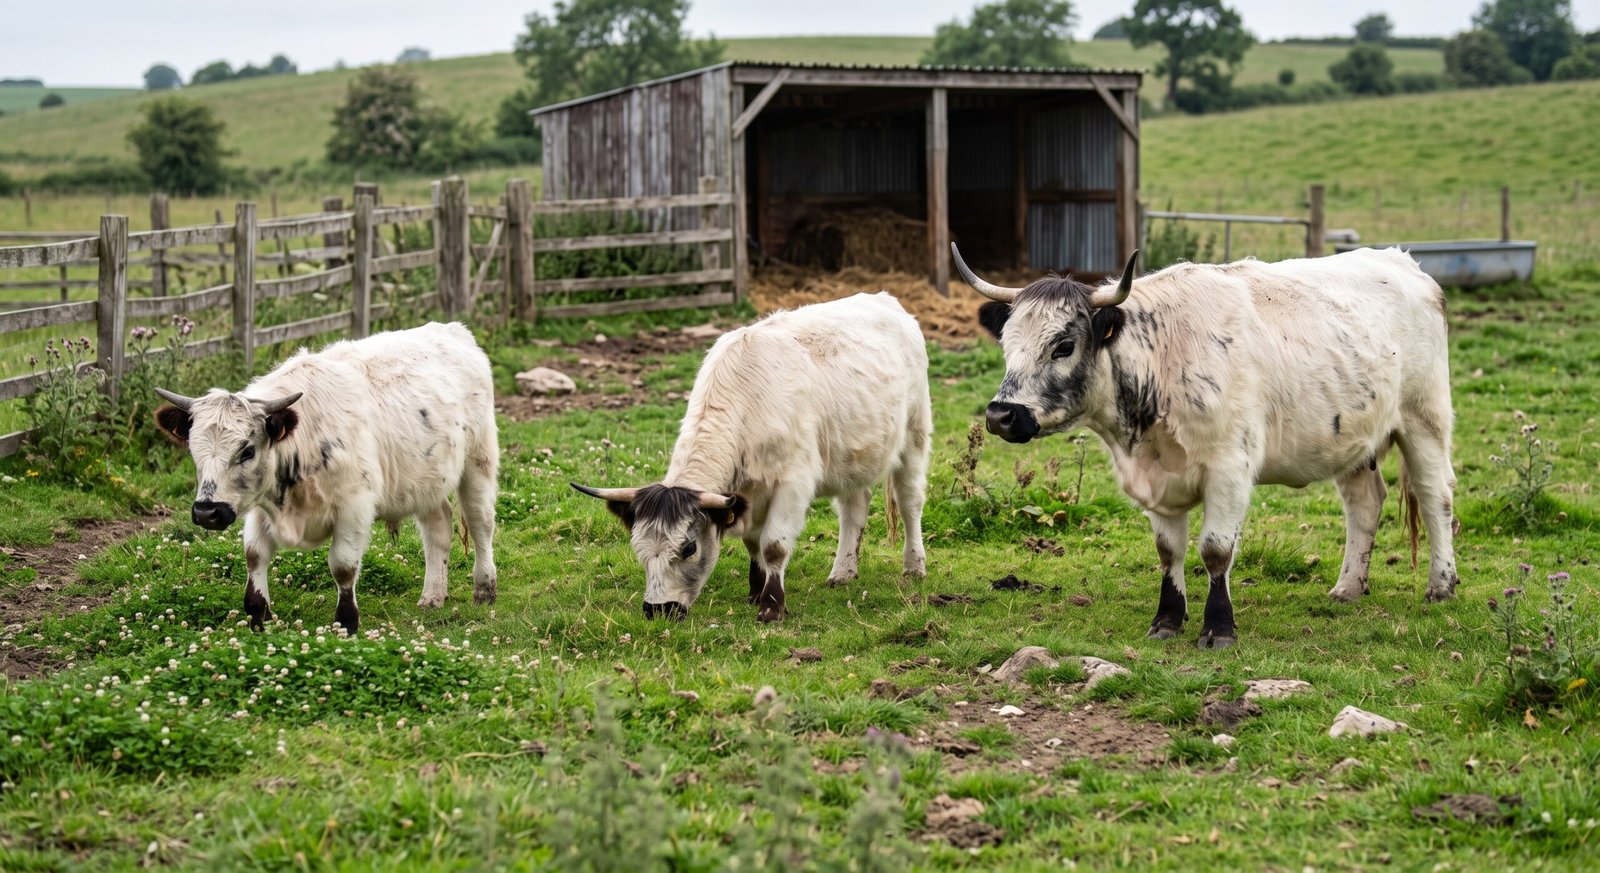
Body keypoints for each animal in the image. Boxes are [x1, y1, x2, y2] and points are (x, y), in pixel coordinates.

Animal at [153, 322, 499, 635]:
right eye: (193, 450)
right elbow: (254, 555)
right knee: (437, 527)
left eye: (247, 450)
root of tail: (453, 330)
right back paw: (433, 595)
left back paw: (484, 586)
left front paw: (346, 621)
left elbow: (343, 566)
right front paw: (258, 615)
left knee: (480, 522)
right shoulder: (260, 507)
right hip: (426, 481)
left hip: (478, 462)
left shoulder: (354, 508)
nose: (206, 512)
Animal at [573, 292, 931, 623]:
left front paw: (771, 606)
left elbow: (773, 545)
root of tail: (886, 300)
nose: (659, 610)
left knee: (909, 502)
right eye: (638, 547)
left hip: (915, 437)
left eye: (689, 548)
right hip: (852, 457)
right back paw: (843, 572)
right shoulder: (744, 494)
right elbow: (752, 543)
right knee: (853, 510)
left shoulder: (792, 483)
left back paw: (914, 565)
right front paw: (756, 591)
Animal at [954, 243, 1458, 648]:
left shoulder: (1230, 470)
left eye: (1063, 345)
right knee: (1365, 505)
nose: (1001, 415)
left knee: (1437, 497)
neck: (1162, 361)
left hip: (1424, 419)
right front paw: (1167, 621)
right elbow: (1168, 551)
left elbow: (1215, 550)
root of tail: (1404, 263)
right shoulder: (1156, 478)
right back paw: (1348, 587)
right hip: (1354, 438)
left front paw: (1218, 628)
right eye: (1006, 343)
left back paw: (1442, 585)